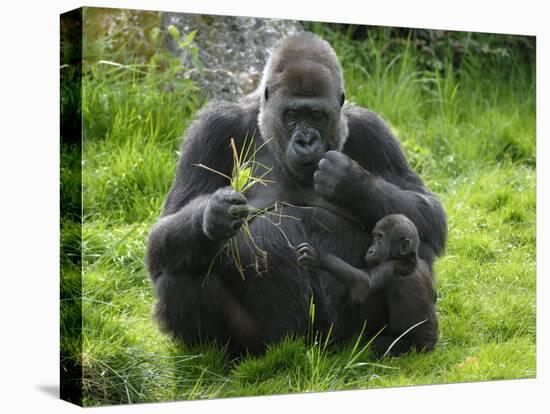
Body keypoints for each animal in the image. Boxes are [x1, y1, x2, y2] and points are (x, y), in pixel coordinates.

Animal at [300, 213, 438, 356]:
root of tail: (431, 346)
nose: (370, 250)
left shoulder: (391, 267)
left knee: (381, 344)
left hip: (415, 347)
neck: (407, 258)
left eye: (380, 240)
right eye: (374, 239)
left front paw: (320, 258)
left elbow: (364, 283)